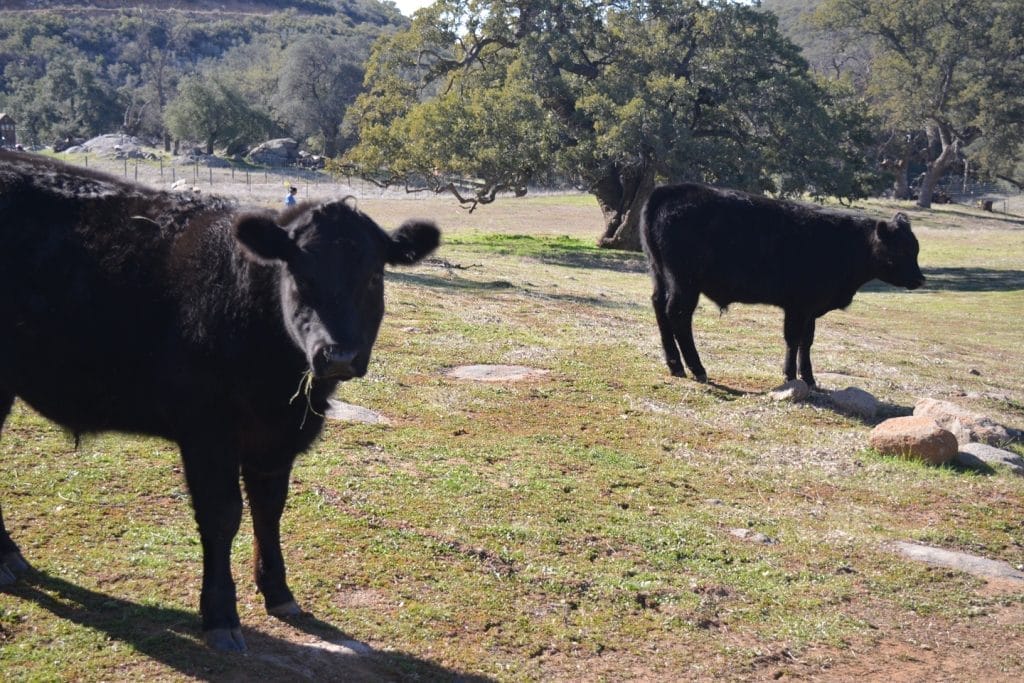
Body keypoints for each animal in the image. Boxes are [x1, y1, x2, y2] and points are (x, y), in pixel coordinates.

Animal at [0, 150, 440, 651]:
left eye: (373, 276)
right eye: (299, 274)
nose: (339, 355)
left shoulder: (275, 439)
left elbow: (270, 509)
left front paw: (279, 592)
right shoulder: (206, 430)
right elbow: (222, 514)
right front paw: (220, 615)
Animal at [640, 183, 925, 387]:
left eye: (916, 249)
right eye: (902, 250)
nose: (920, 279)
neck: (844, 244)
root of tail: (667, 191)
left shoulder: (810, 309)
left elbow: (806, 341)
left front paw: (808, 378)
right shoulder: (798, 306)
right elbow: (793, 338)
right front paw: (790, 376)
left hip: (660, 274)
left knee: (659, 307)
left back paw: (675, 365)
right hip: (685, 283)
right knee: (678, 315)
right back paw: (697, 368)